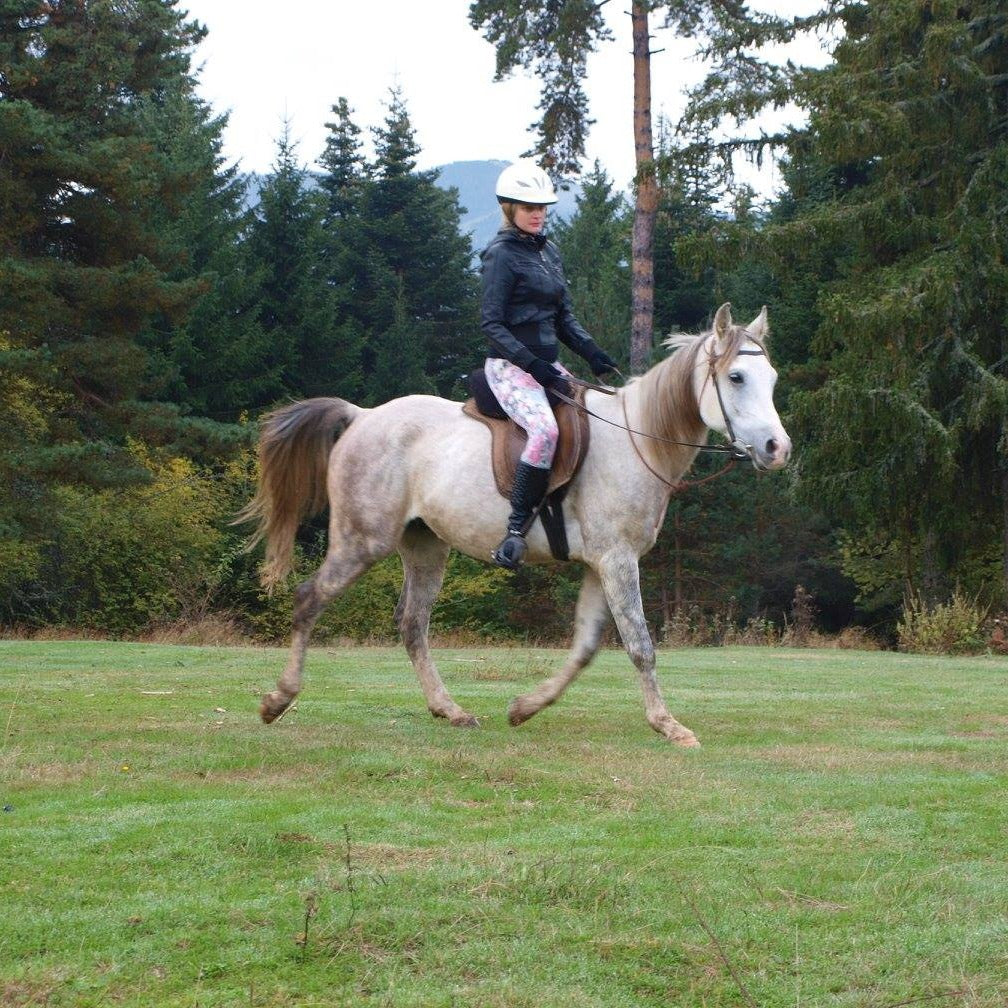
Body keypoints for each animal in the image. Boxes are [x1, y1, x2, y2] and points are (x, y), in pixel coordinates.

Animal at [241, 302, 791, 747]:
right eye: (736, 378)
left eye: (771, 379)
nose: (777, 449)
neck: (638, 440)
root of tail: (362, 416)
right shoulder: (617, 561)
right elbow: (640, 645)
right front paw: (668, 725)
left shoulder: (601, 563)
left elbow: (586, 647)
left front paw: (525, 708)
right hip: (362, 541)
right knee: (310, 598)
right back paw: (278, 700)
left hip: (424, 546)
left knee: (413, 623)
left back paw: (450, 710)